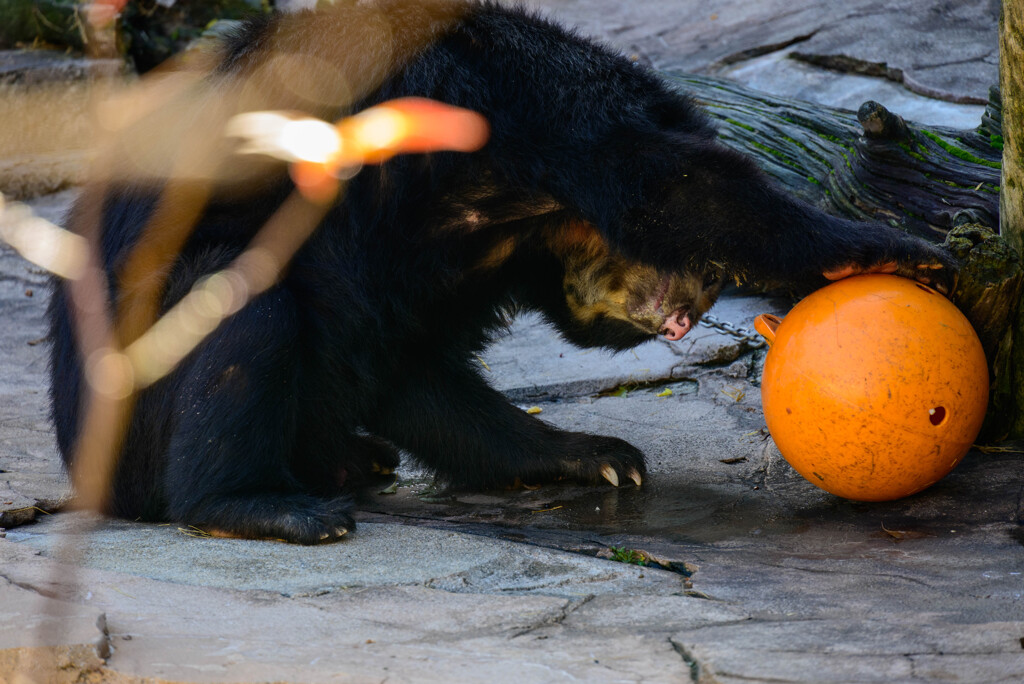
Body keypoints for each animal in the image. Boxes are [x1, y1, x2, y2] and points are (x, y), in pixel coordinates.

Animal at [51, 1, 954, 544]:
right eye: (703, 271)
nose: (686, 318)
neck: (523, 220)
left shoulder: (439, 268)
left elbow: (413, 367)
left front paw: (597, 454)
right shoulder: (524, 102)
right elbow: (672, 187)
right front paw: (893, 245)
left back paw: (352, 461)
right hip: (137, 378)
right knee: (246, 307)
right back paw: (275, 505)